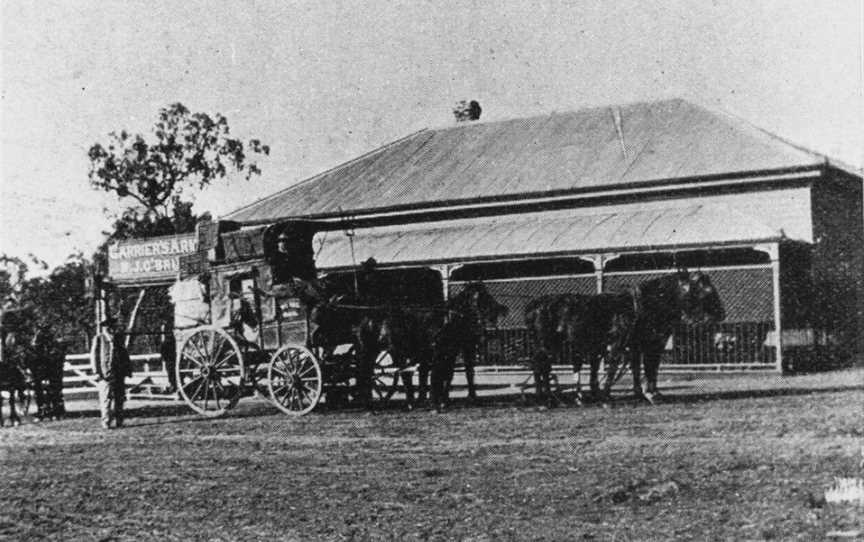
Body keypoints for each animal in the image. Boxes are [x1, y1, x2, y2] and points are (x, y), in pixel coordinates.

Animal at [528, 274, 724, 406]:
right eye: (706, 291)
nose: (721, 313)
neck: (644, 306)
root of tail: (535, 304)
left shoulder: (638, 345)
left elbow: (640, 369)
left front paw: (644, 393)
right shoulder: (624, 344)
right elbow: (619, 368)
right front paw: (608, 397)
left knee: (542, 367)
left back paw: (549, 398)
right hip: (547, 344)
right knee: (540, 366)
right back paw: (546, 399)